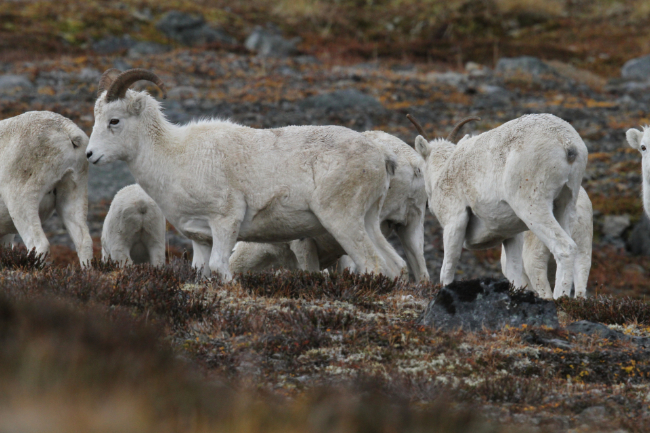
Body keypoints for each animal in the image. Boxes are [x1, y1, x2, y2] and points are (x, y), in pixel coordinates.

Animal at [86, 68, 406, 281]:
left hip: (342, 220)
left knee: (373, 265)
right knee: (395, 266)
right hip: (368, 220)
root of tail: (381, 156)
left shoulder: (225, 222)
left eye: (114, 120)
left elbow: (220, 268)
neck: (175, 157)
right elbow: (204, 272)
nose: (90, 155)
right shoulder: (200, 237)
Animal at [409, 113, 588, 299]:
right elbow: (514, 272)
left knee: (565, 248)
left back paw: (560, 298)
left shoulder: (455, 223)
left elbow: (447, 270)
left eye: (420, 168)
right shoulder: (511, 236)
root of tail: (566, 143)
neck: (444, 173)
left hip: (533, 208)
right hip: (565, 206)